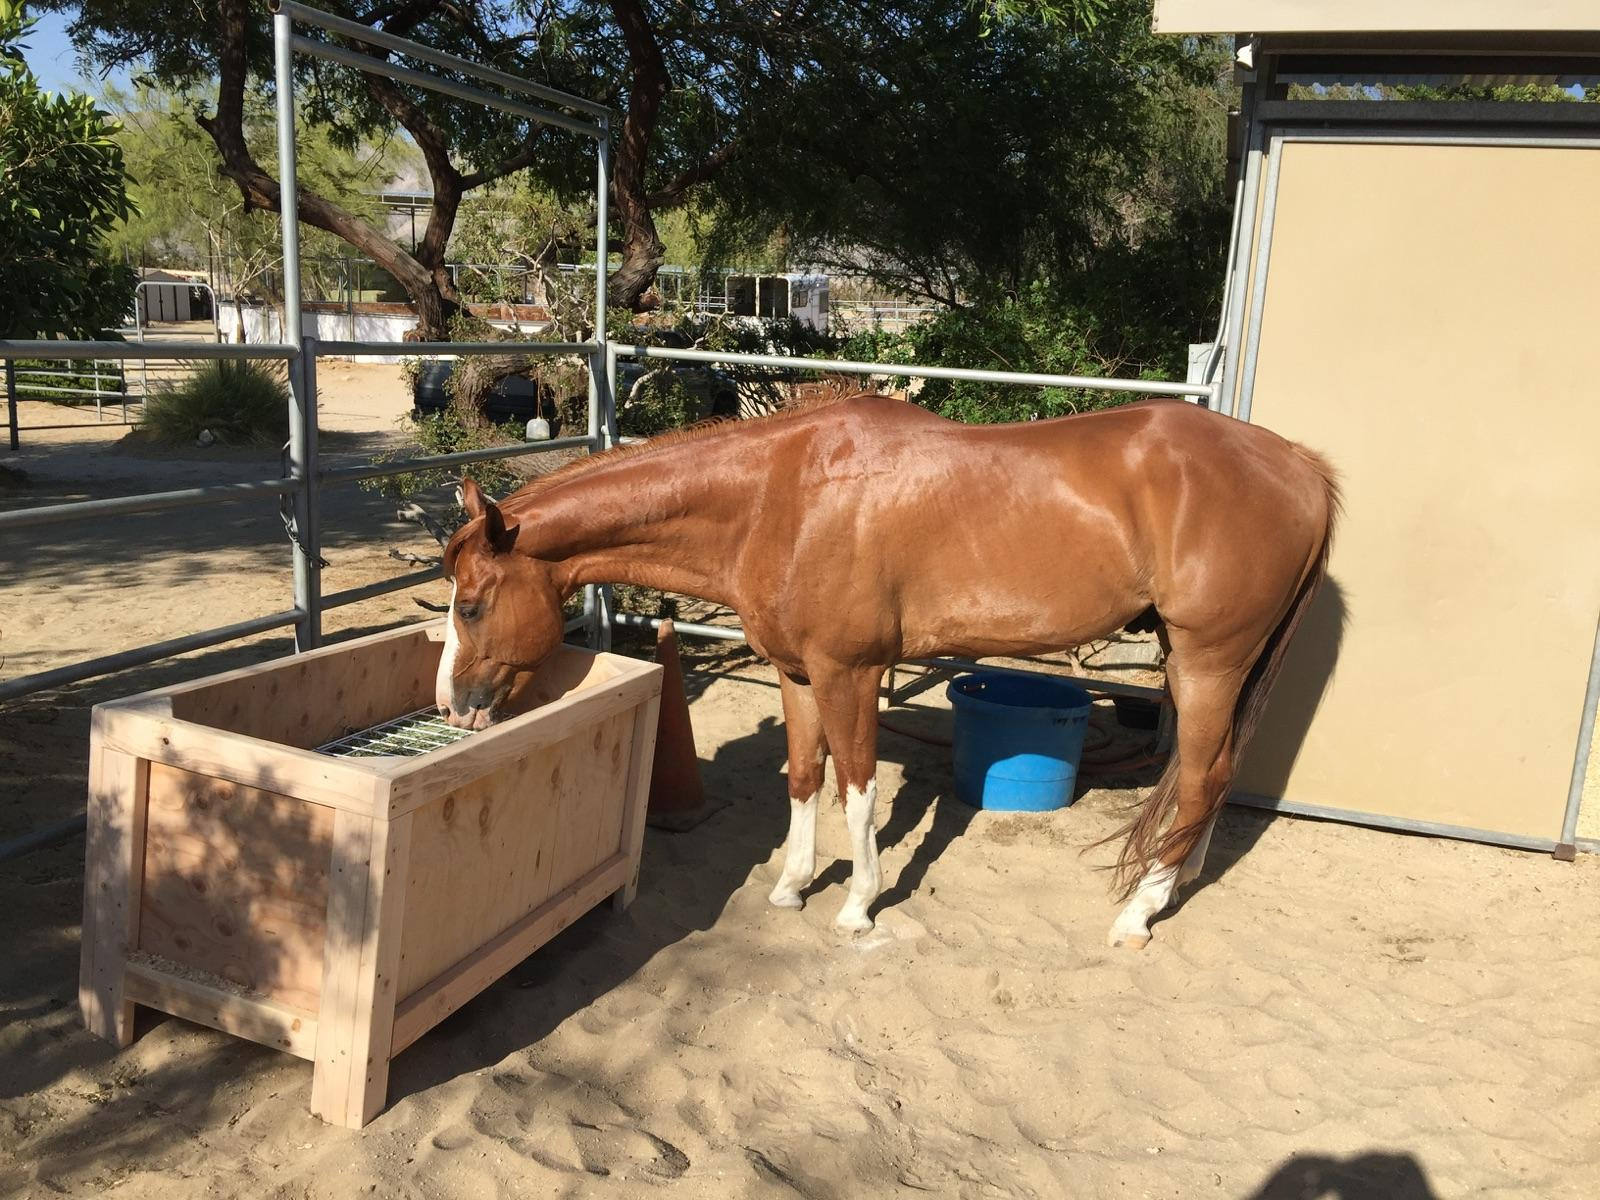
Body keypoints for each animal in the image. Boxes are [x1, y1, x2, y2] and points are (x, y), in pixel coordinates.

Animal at [436, 392, 1339, 948]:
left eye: (471, 605)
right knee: (1208, 775)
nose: (452, 706)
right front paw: (792, 886)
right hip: (1203, 666)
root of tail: (1300, 465)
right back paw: (1176, 882)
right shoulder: (799, 674)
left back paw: (1139, 913)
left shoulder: (851, 674)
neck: (779, 497)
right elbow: (804, 778)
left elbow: (859, 790)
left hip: (1209, 661)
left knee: (1201, 777)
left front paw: (858, 907)